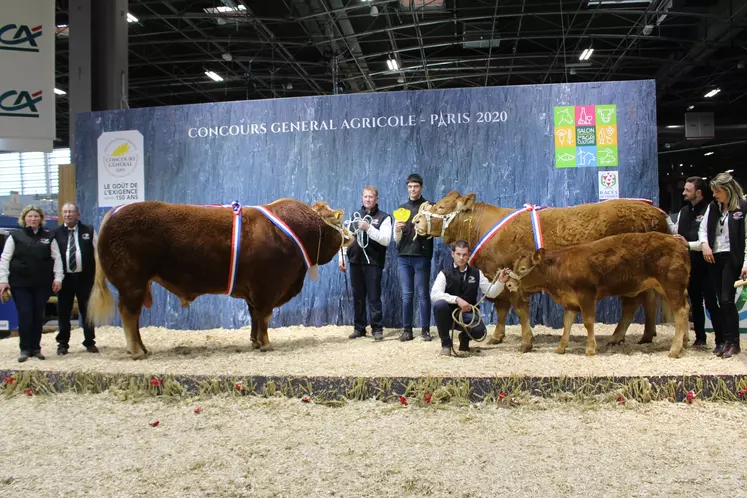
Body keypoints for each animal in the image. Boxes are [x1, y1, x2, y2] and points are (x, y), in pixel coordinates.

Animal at [86, 198, 356, 358]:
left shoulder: (253, 290)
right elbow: (264, 316)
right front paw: (266, 344)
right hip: (131, 282)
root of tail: (116, 211)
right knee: (129, 314)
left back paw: (143, 348)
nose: (351, 234)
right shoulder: (267, 287)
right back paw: (137, 351)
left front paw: (255, 342)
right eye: (338, 219)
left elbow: (254, 315)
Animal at [414, 192, 672, 354]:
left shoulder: (512, 274)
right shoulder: (498, 275)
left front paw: (526, 342)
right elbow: (501, 307)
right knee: (648, 299)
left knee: (631, 304)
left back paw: (617, 337)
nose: (416, 221)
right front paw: (498, 336)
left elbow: (519, 309)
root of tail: (655, 211)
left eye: (441, 207)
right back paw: (646, 335)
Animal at [506, 233, 692, 358]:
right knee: (685, 308)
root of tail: (677, 241)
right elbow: (567, 323)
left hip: (672, 286)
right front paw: (560, 348)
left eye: (522, 268)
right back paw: (683, 342)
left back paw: (674, 350)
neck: (561, 267)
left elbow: (588, 322)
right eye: (514, 266)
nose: (508, 284)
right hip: (666, 288)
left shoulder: (586, 296)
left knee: (681, 312)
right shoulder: (570, 301)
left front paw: (590, 349)